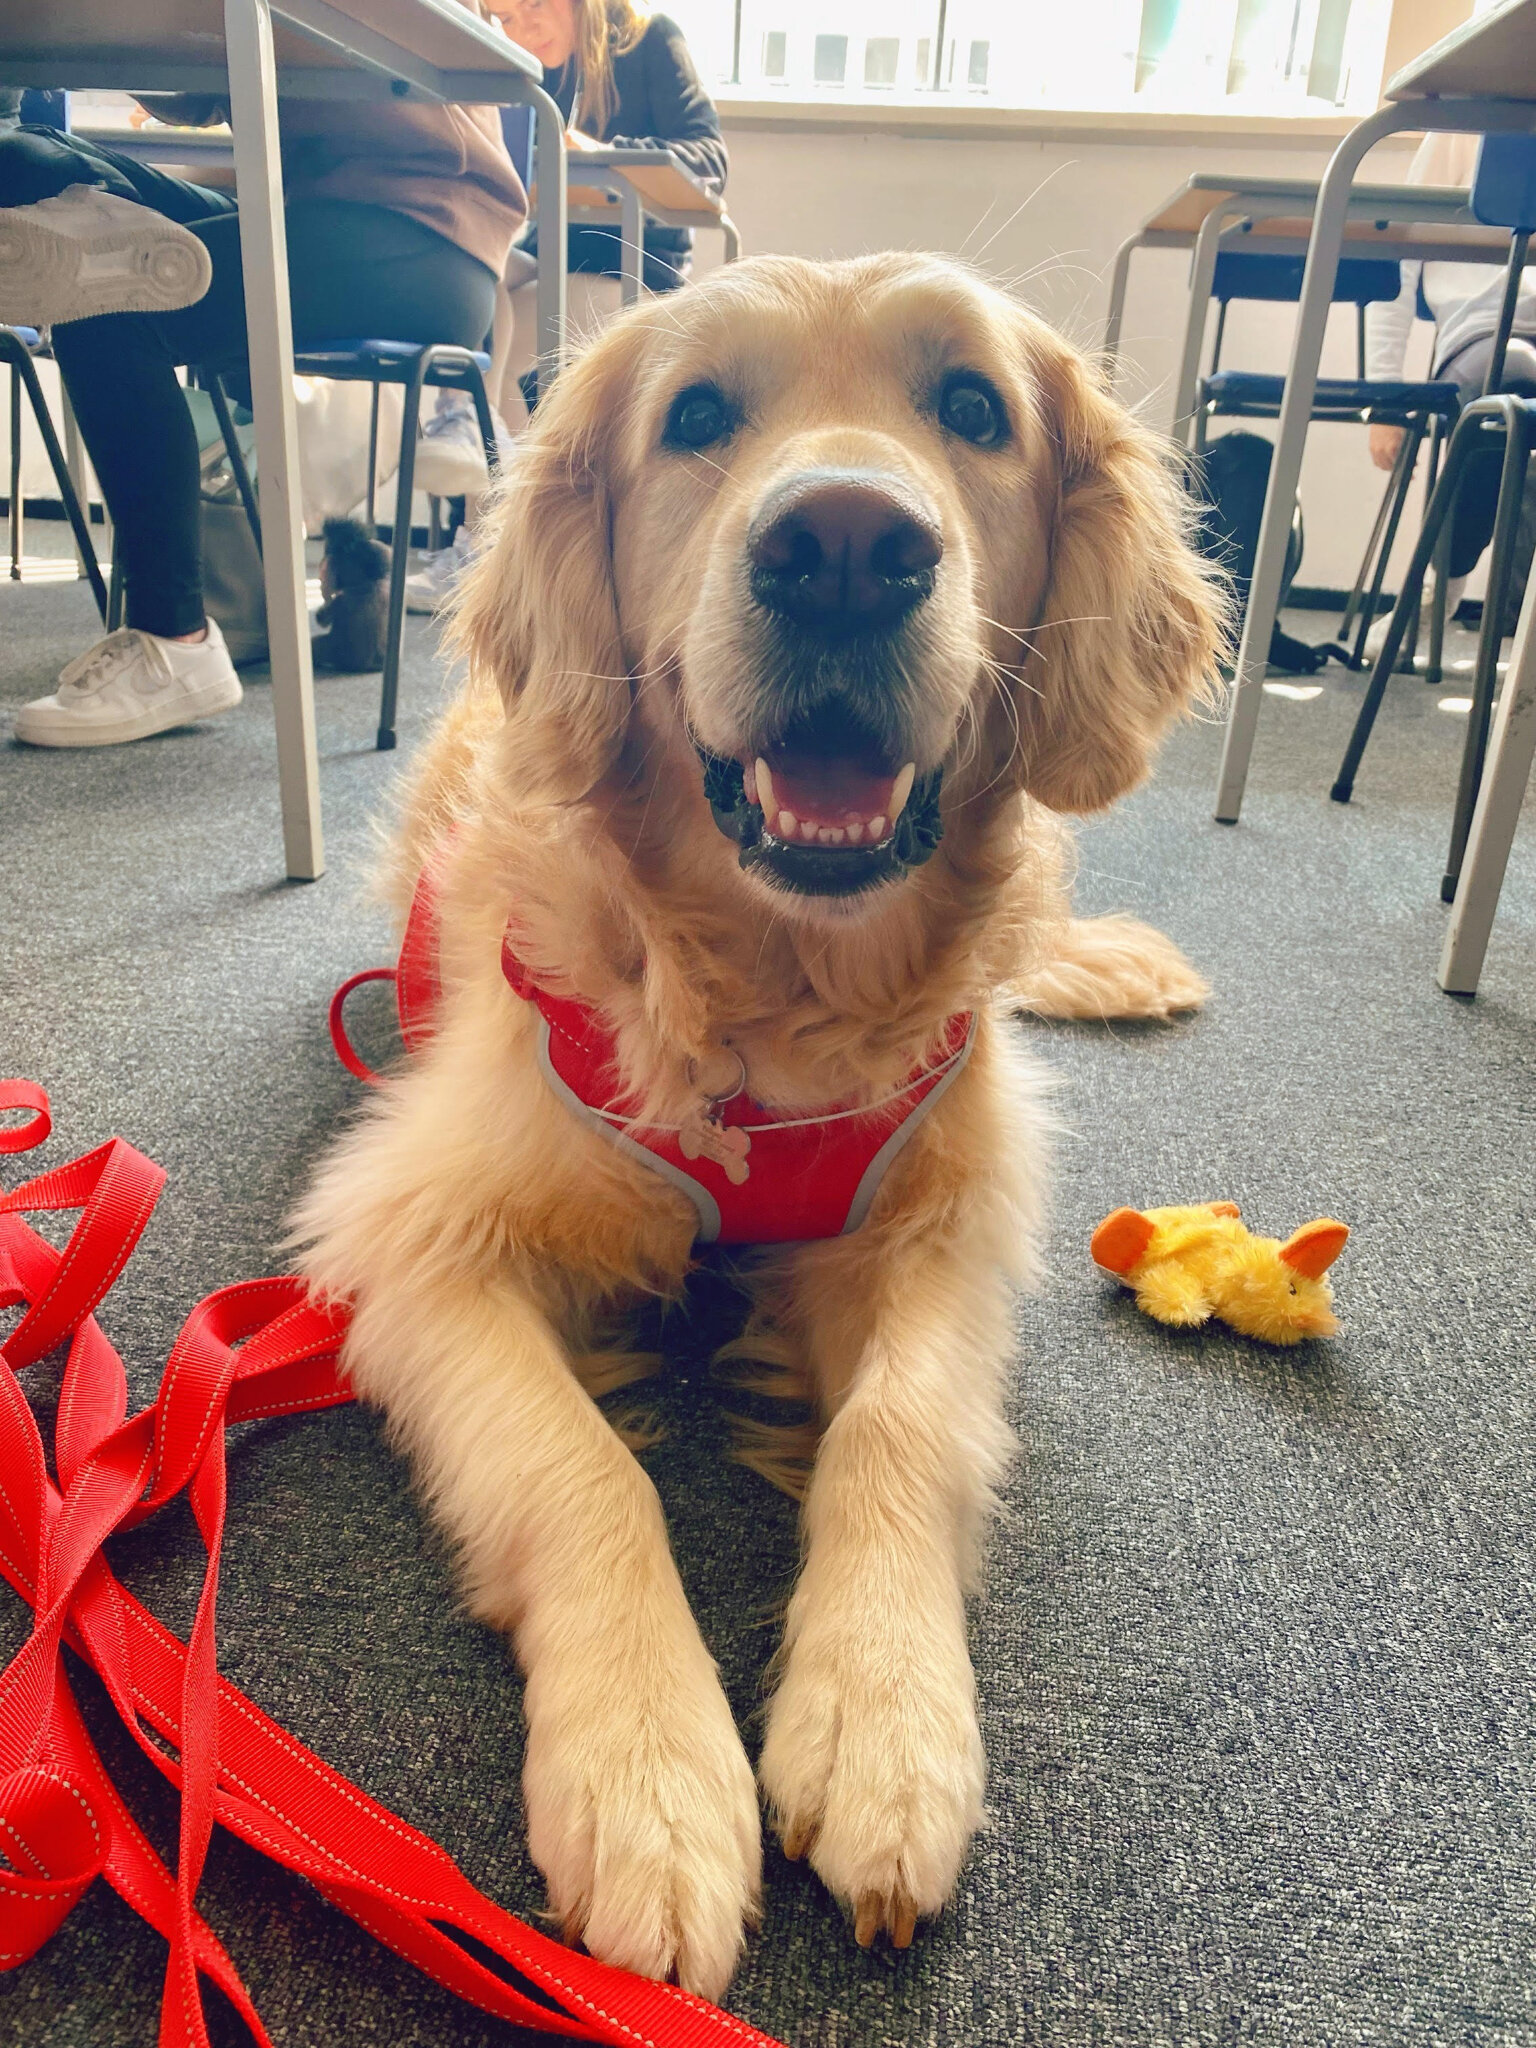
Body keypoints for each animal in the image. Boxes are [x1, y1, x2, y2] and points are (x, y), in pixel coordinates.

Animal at [294, 256, 1220, 1998]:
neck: (772, 1001)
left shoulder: (945, 1215)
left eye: (973, 406)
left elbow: (897, 1427)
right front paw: (649, 1775)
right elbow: (587, 1473)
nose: (845, 548)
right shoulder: (413, 1236)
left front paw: (884, 1723)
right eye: (698, 415)